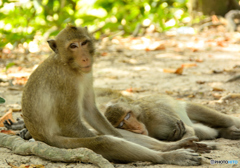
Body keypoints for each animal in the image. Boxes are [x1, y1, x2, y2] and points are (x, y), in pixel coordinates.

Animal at [21, 25, 202, 166]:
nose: (85, 58)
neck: (68, 65)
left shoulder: (87, 74)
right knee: (104, 141)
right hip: (61, 144)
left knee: (117, 136)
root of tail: (39, 138)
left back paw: (173, 146)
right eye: (73, 46)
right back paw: (169, 156)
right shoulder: (65, 82)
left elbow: (91, 111)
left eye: (84, 43)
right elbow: (70, 124)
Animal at [104, 94, 240, 140]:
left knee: (226, 120)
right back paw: (224, 132)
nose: (135, 127)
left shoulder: (159, 116)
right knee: (203, 130)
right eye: (121, 124)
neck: (145, 120)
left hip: (184, 105)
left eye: (127, 116)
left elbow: (189, 132)